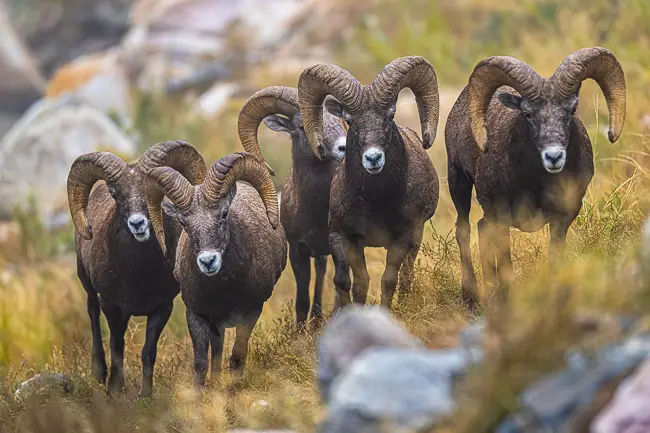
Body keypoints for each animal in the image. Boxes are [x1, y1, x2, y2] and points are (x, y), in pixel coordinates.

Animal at [67, 140, 207, 397]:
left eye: (152, 191)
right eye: (115, 193)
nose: (138, 223)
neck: (138, 275)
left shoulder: (162, 307)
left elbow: (148, 353)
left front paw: (146, 395)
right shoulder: (111, 305)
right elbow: (117, 346)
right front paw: (114, 391)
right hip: (87, 283)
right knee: (92, 313)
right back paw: (99, 373)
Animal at [145, 152, 287, 387]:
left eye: (223, 214)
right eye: (183, 223)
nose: (208, 261)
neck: (224, 290)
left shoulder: (251, 312)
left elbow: (237, 356)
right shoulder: (197, 315)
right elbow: (201, 363)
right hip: (216, 325)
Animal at [237, 86, 347, 325]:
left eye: (339, 118)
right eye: (303, 126)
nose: (343, 147)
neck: (315, 212)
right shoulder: (298, 251)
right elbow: (302, 299)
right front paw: (299, 328)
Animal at [297, 56, 440, 309]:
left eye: (390, 115)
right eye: (349, 120)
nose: (373, 158)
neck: (375, 201)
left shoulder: (401, 239)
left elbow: (388, 281)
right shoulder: (343, 238)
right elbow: (349, 282)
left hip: (416, 237)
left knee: (407, 275)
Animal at [444, 47, 626, 311]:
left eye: (571, 109)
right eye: (528, 114)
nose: (554, 156)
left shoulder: (563, 217)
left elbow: (555, 259)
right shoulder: (502, 215)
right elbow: (506, 265)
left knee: (482, 230)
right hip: (458, 183)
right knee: (465, 230)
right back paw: (472, 298)